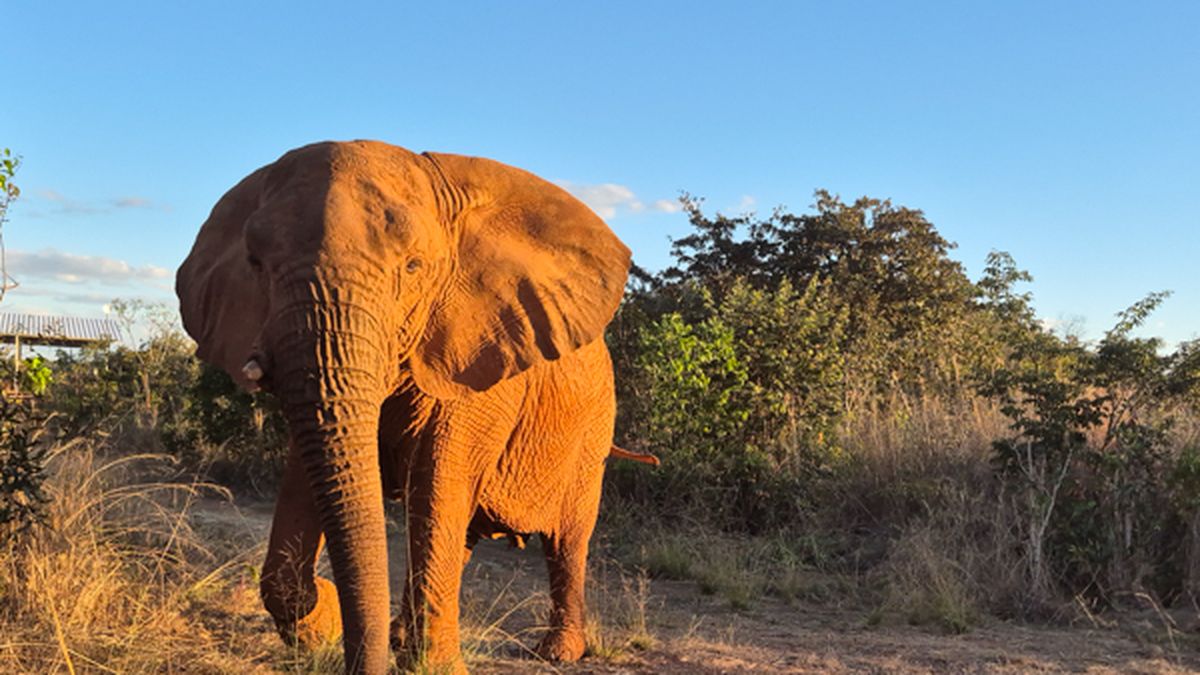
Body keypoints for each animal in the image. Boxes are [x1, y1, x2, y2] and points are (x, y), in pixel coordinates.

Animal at [175, 140, 638, 674]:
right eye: (254, 262)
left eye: (414, 267)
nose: (335, 617)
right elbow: (310, 480)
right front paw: (326, 623)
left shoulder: (476, 365)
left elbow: (437, 486)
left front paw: (433, 668)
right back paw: (400, 635)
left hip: (594, 429)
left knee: (567, 539)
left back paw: (557, 652)